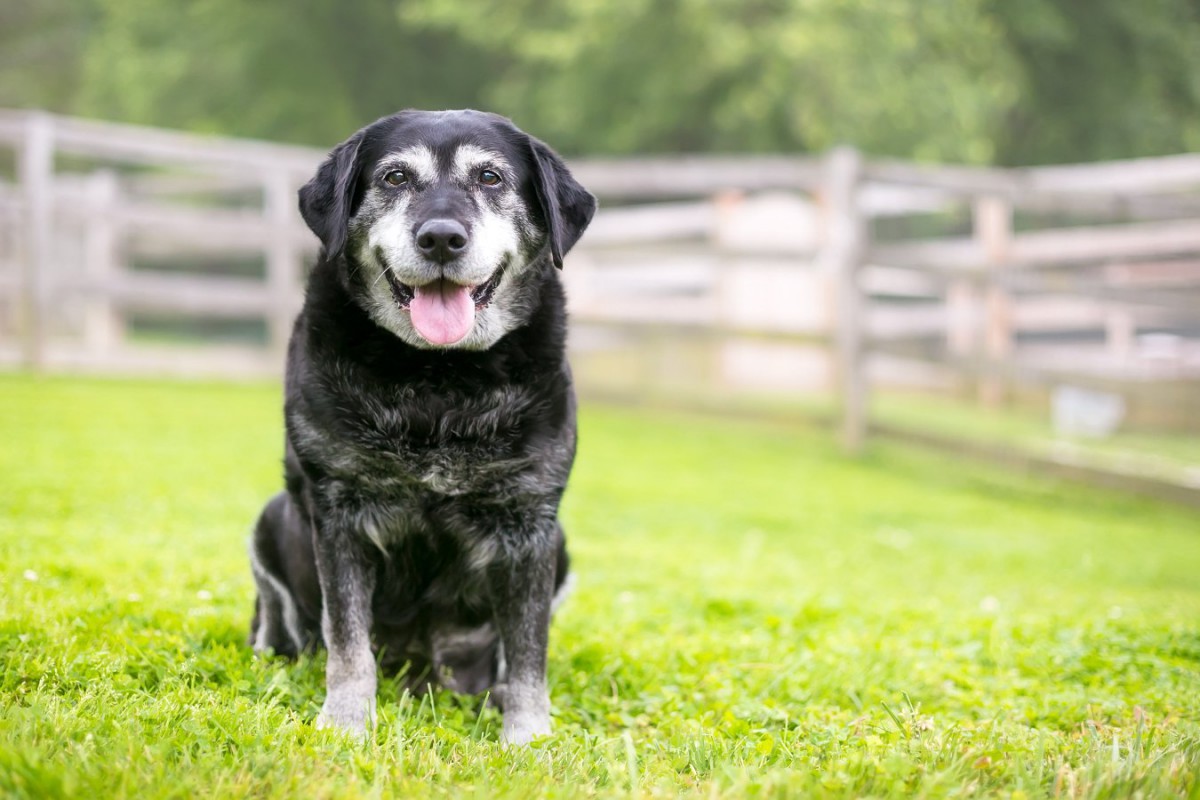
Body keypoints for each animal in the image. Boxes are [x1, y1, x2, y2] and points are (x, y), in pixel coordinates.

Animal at [247, 109, 595, 748]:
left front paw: (528, 739)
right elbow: (348, 642)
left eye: (489, 177)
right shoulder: (340, 512)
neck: (439, 378)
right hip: (271, 518)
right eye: (395, 177)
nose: (440, 237)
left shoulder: (530, 524)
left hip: (559, 547)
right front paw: (346, 723)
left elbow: (528, 653)